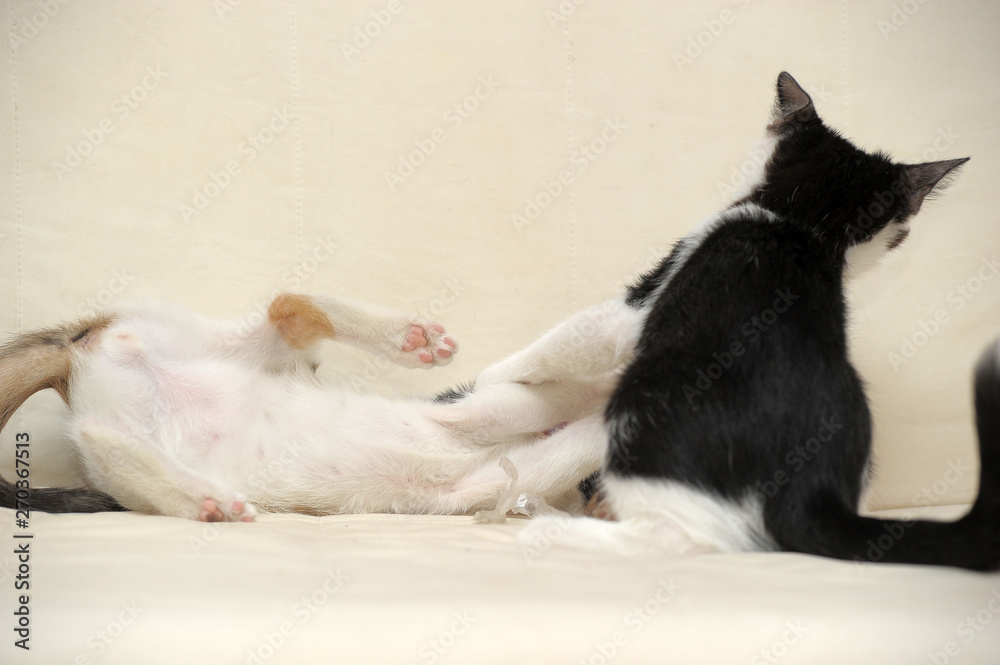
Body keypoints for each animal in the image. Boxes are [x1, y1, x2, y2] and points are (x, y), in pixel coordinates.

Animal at [448, 72, 1000, 572]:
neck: (802, 228)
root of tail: (811, 493)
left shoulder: (644, 300)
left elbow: (572, 339)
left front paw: (494, 376)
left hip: (647, 403)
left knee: (690, 538)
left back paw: (555, 531)